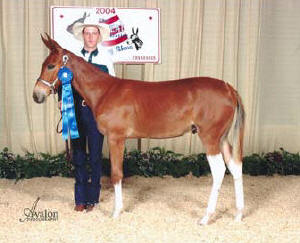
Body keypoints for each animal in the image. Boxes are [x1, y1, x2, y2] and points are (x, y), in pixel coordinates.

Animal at [32, 34, 245, 226]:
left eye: (50, 66)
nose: (36, 95)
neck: (105, 91)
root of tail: (228, 88)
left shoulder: (116, 138)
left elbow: (116, 174)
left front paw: (116, 212)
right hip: (222, 139)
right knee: (235, 168)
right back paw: (238, 215)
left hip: (210, 138)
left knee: (219, 171)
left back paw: (206, 218)